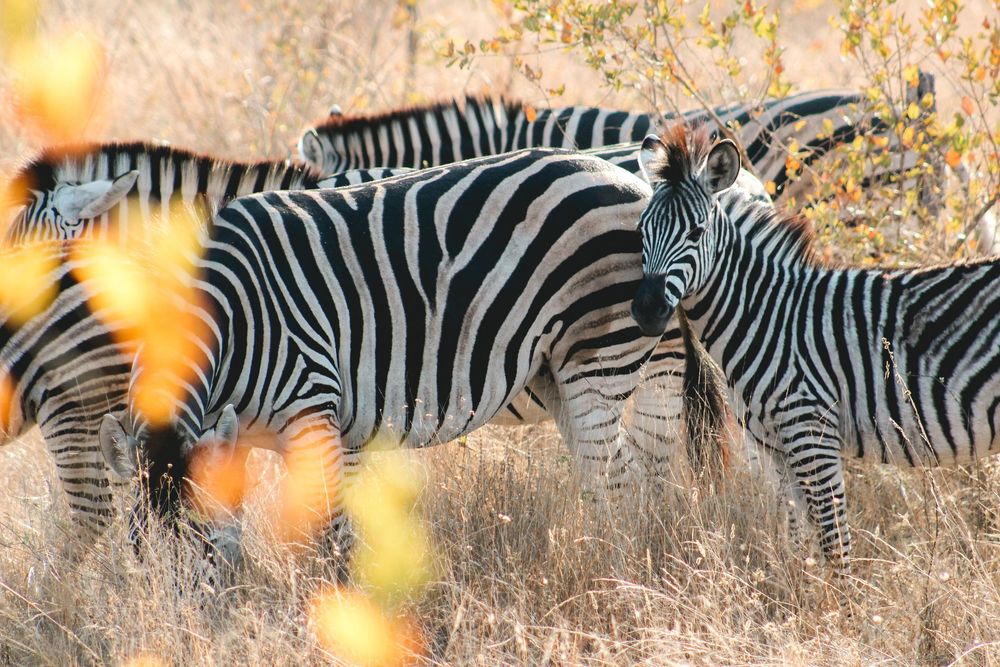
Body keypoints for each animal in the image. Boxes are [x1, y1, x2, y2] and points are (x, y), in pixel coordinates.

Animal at [97, 148, 738, 568]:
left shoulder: (313, 412)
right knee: (620, 474)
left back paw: (610, 570)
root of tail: (634, 183)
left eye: (197, 546)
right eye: (137, 551)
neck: (233, 316)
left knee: (618, 479)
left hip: (600, 357)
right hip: (561, 371)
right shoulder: (244, 436)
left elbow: (328, 537)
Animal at [629, 123, 1000, 573]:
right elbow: (798, 542)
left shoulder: (813, 435)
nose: (647, 310)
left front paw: (839, 595)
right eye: (641, 231)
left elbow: (834, 545)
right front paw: (800, 590)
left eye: (696, 232)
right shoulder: (775, 449)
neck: (767, 314)